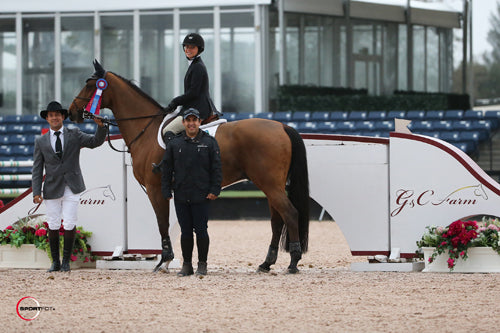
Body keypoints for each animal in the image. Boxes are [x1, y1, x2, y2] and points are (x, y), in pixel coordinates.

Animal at [67, 60, 308, 272]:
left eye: (90, 84)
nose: (72, 111)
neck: (145, 129)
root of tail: (283, 126)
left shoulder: (156, 188)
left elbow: (162, 222)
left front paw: (164, 260)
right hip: (270, 186)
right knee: (277, 220)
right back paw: (266, 264)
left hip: (270, 184)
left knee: (290, 214)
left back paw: (293, 262)